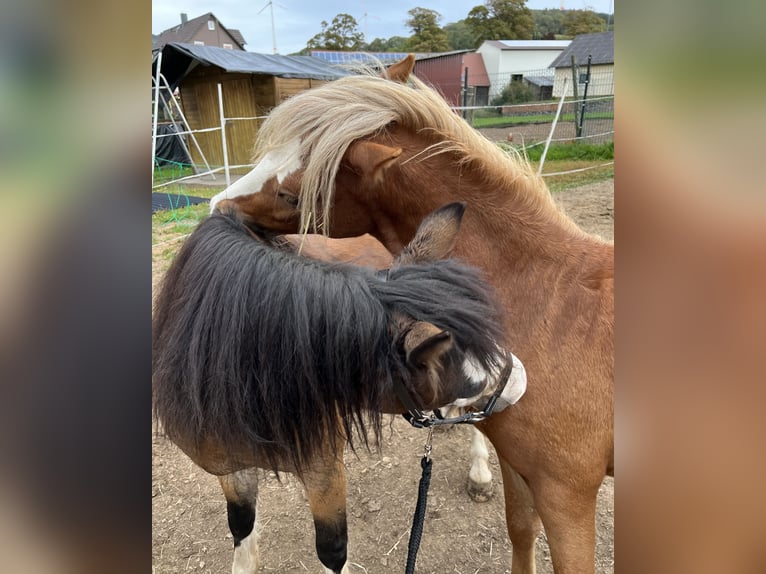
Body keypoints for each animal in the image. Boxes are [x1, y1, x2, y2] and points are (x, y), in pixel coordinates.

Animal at [152, 204, 520, 574]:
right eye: (471, 379)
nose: (519, 382)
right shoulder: (231, 466)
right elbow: (241, 524)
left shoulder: (324, 470)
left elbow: (332, 548)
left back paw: (480, 475)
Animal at [210, 55, 616, 574]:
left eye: (291, 195)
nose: (217, 207)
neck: (549, 301)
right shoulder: (521, 469)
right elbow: (520, 532)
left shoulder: (567, 495)